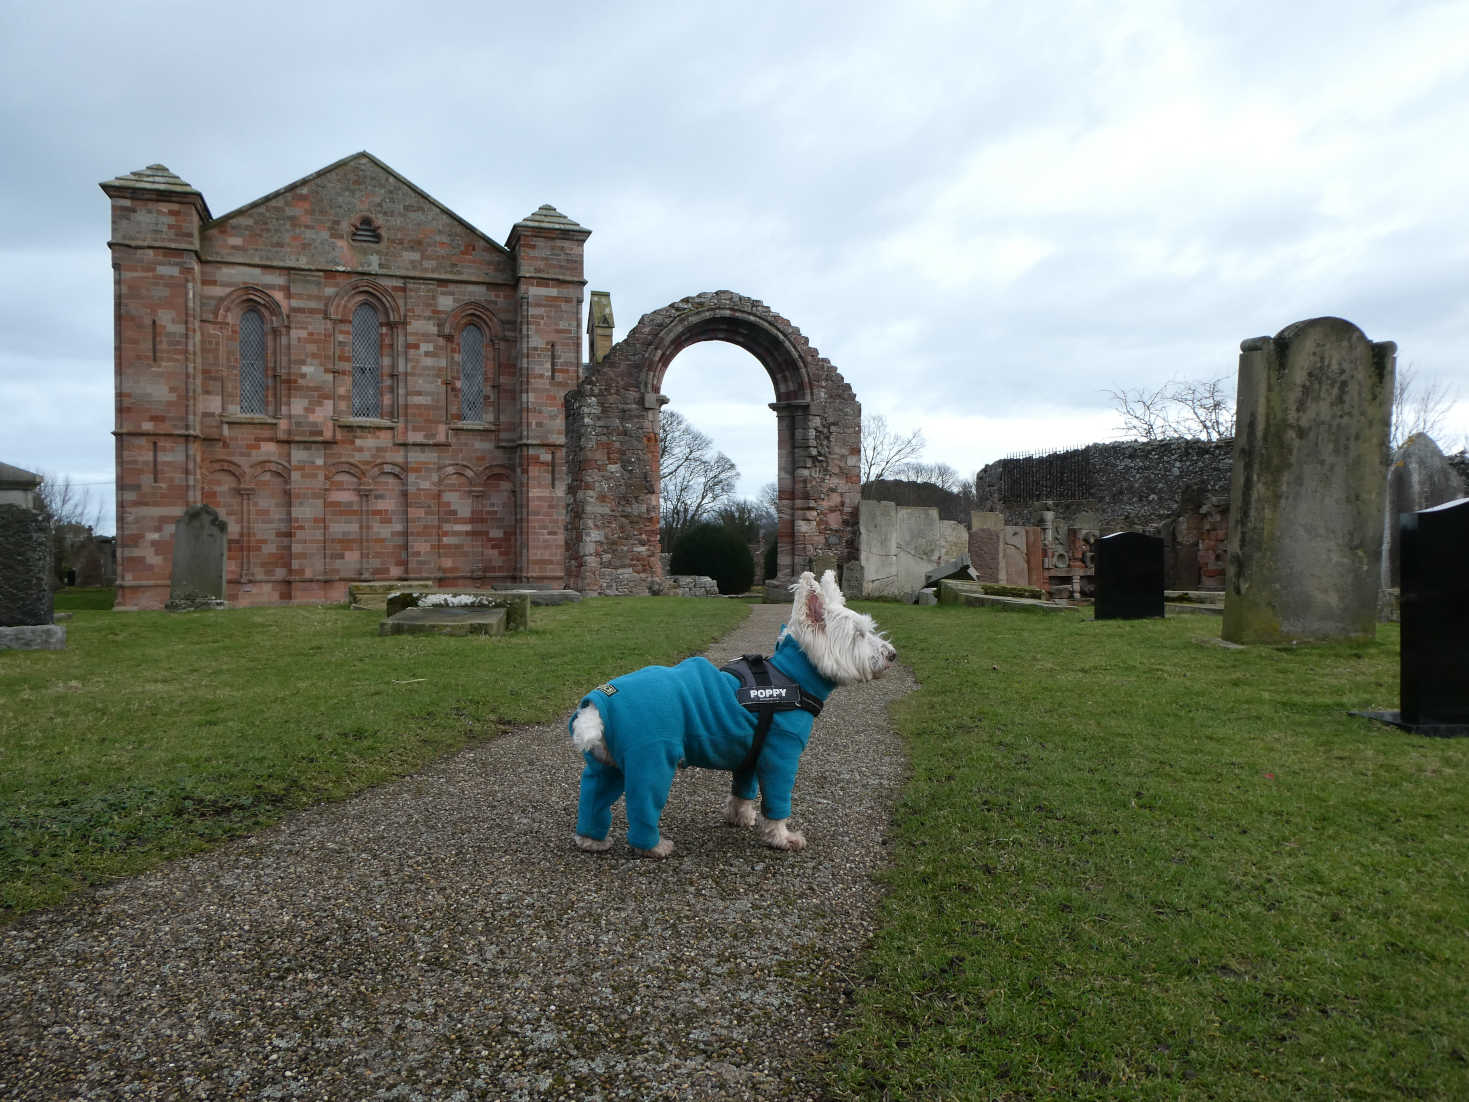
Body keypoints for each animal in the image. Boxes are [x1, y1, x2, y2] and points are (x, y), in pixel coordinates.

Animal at [569, 573, 893, 858]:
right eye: (858, 634)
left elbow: (743, 791)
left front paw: (739, 818)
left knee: (593, 801)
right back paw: (654, 847)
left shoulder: (751, 754)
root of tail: (597, 704)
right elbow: (776, 804)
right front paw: (782, 838)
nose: (892, 655)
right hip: (651, 761)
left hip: (606, 766)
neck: (790, 677)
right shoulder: (781, 754)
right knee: (642, 808)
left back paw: (592, 841)